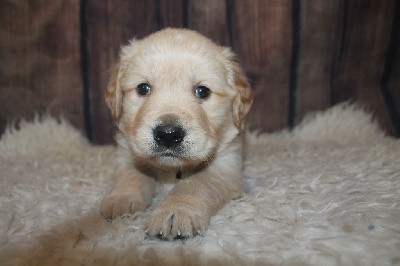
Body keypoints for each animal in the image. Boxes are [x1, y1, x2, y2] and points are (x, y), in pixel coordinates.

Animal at [101, 28, 253, 240]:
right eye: (143, 88)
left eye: (202, 91)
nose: (168, 134)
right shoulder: (126, 152)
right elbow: (132, 174)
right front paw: (122, 198)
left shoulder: (225, 167)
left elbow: (194, 184)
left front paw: (176, 210)